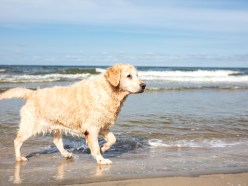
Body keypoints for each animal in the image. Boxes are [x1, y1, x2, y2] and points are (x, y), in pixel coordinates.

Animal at [0, 63, 145, 164]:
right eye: (129, 76)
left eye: (137, 75)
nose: (144, 85)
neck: (109, 90)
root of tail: (32, 93)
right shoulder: (92, 128)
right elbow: (95, 147)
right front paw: (101, 159)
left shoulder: (102, 125)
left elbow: (113, 139)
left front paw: (104, 148)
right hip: (31, 125)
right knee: (17, 140)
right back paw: (19, 158)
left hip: (57, 124)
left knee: (56, 141)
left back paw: (66, 154)